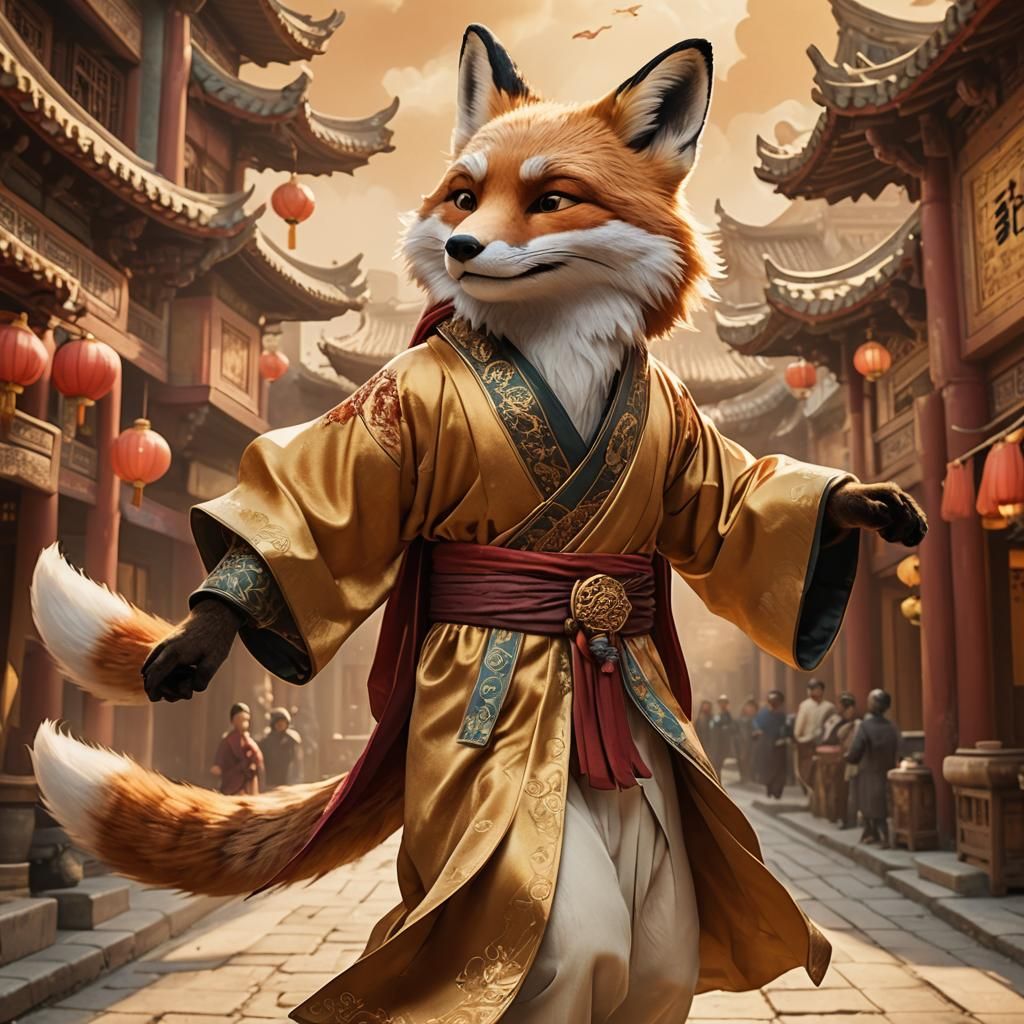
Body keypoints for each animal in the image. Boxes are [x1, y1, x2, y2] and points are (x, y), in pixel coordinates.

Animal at [29, 21, 924, 1020]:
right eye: (463, 194)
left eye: (551, 200)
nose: (460, 246)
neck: (556, 338)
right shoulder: (390, 415)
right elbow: (308, 509)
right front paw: (203, 633)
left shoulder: (683, 435)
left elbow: (728, 506)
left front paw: (857, 504)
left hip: (670, 886)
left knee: (658, 961)